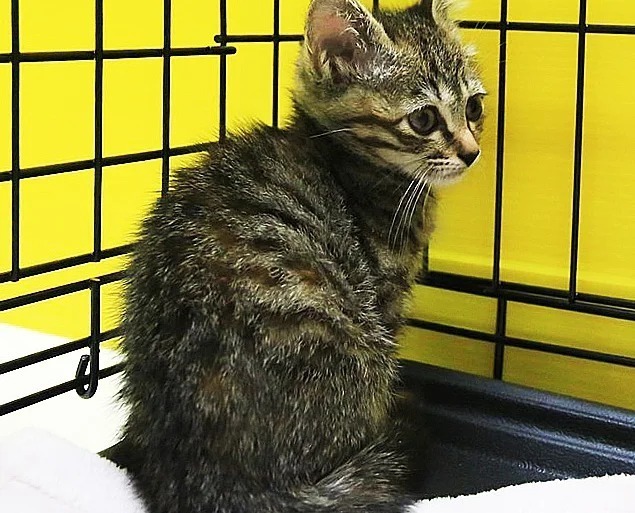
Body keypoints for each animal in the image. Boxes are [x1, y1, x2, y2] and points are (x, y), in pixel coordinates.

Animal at [116, 0, 485, 512]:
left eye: (474, 107)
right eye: (425, 120)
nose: (471, 152)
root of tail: (206, 475)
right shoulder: (384, 299)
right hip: (355, 345)